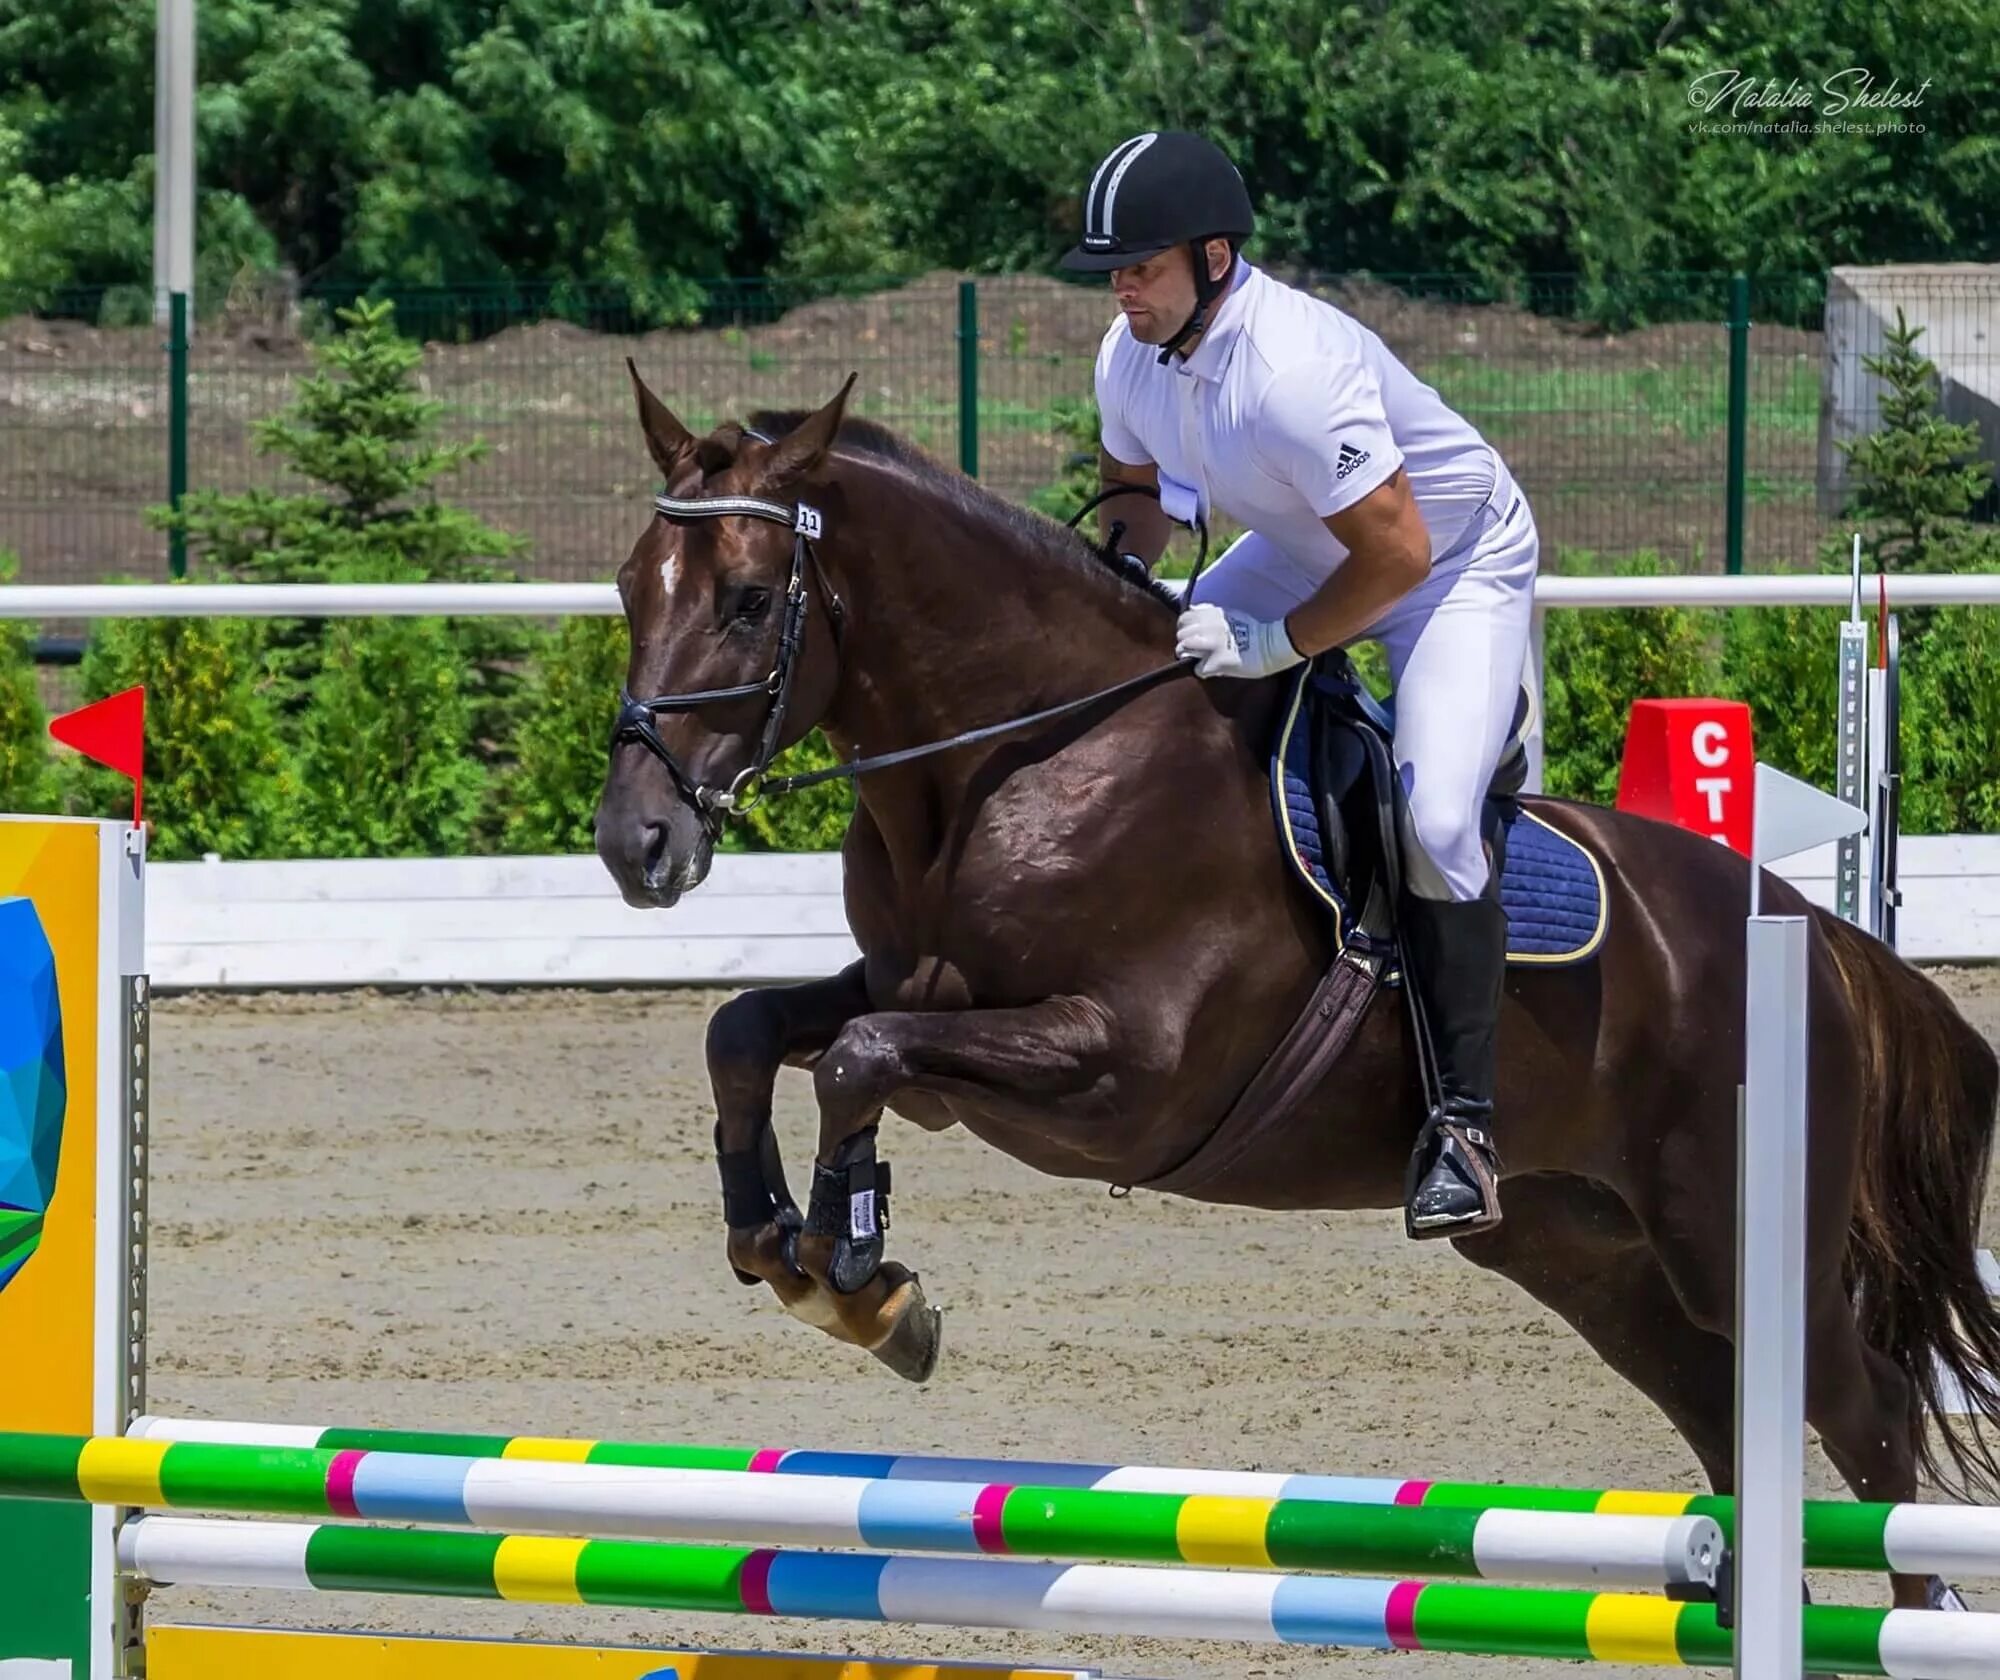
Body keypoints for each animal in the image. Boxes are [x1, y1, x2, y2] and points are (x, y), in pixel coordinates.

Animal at [592, 370, 2000, 1616]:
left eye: (749, 599)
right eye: (625, 588)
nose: (633, 844)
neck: (1016, 760)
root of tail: (1811, 933)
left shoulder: (1120, 1073)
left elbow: (860, 1058)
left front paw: (858, 1277)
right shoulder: (911, 989)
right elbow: (751, 1030)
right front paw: (775, 1236)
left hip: (1731, 1234)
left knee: (1865, 1410)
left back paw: (1914, 1612)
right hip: (1579, 1248)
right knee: (1726, 1409)